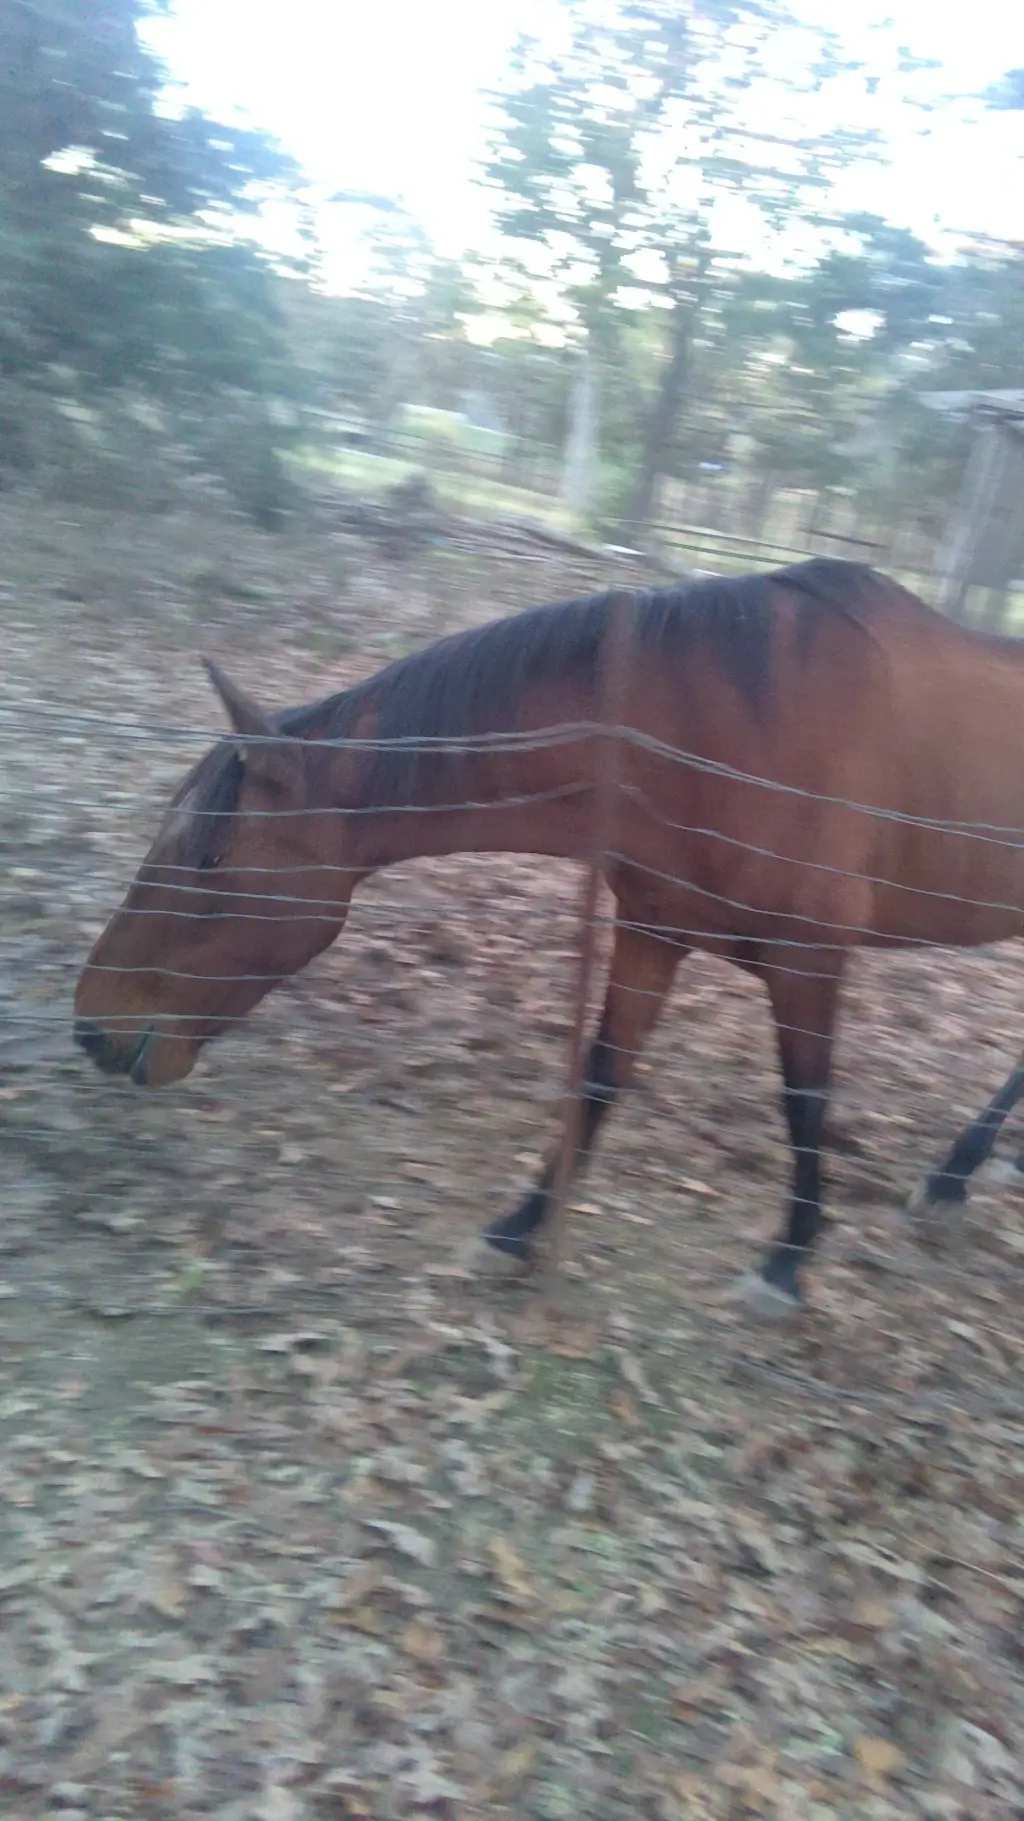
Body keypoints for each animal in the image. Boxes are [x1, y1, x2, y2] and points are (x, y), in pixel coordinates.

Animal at [73, 558, 1024, 1312]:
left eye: (208, 855)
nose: (91, 1025)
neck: (710, 721)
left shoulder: (807, 959)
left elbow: (806, 1102)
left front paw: (787, 1263)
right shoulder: (651, 932)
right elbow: (599, 1078)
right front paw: (517, 1228)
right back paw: (955, 1174)